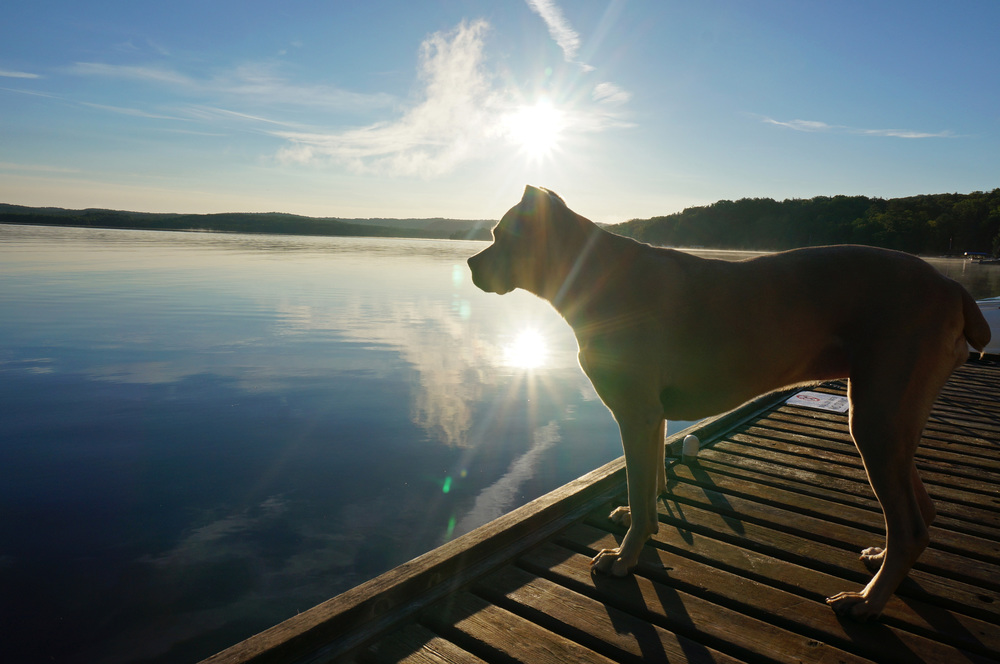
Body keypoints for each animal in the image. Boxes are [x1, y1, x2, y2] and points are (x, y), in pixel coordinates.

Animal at [468, 184, 992, 620]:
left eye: (499, 234)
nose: (471, 265)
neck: (593, 276)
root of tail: (952, 287)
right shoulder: (651, 418)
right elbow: (649, 483)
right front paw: (639, 528)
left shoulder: (636, 414)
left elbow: (638, 486)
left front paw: (623, 558)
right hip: (890, 421)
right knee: (921, 513)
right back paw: (879, 561)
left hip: (876, 421)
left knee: (909, 526)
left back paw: (867, 602)